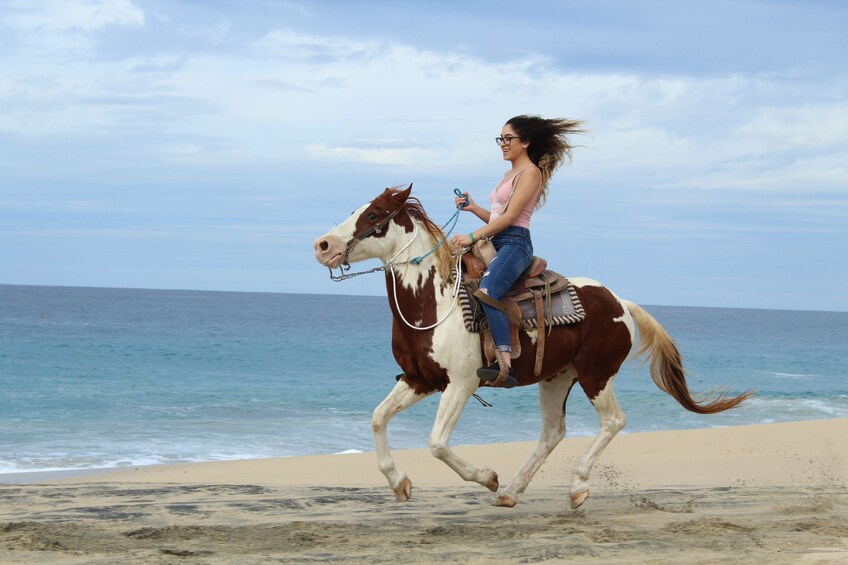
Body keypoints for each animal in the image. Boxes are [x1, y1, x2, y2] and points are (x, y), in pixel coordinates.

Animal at [312, 184, 748, 506]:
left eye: (373, 214)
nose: (322, 245)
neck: (434, 301)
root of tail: (620, 302)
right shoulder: (419, 379)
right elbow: (377, 418)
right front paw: (399, 482)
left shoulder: (461, 384)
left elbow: (436, 443)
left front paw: (486, 476)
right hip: (556, 378)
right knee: (553, 432)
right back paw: (512, 491)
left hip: (596, 374)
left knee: (613, 422)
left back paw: (575, 487)